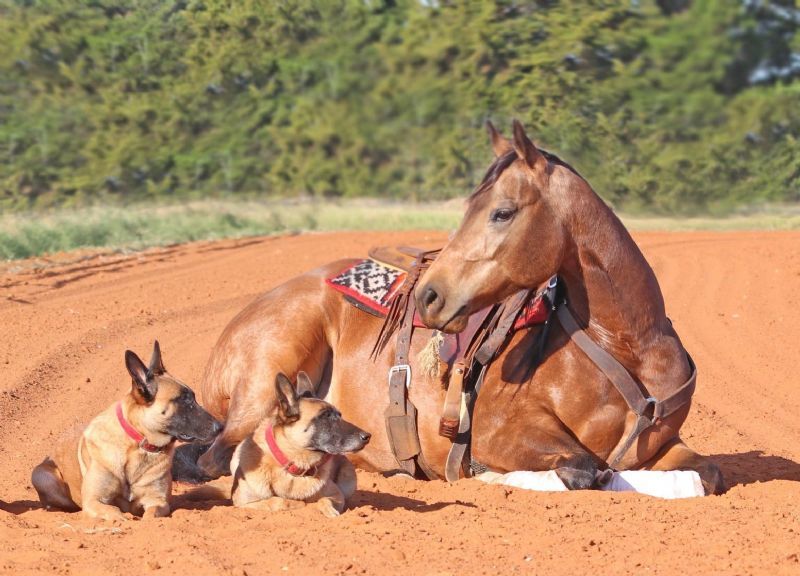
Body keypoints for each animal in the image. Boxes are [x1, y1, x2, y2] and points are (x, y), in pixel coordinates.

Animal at [191, 121, 724, 495]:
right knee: (216, 458)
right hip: (269, 377)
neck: (625, 347)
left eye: (502, 212)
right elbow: (584, 470)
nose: (429, 295)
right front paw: (489, 477)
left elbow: (709, 474)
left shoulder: (663, 446)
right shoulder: (501, 431)